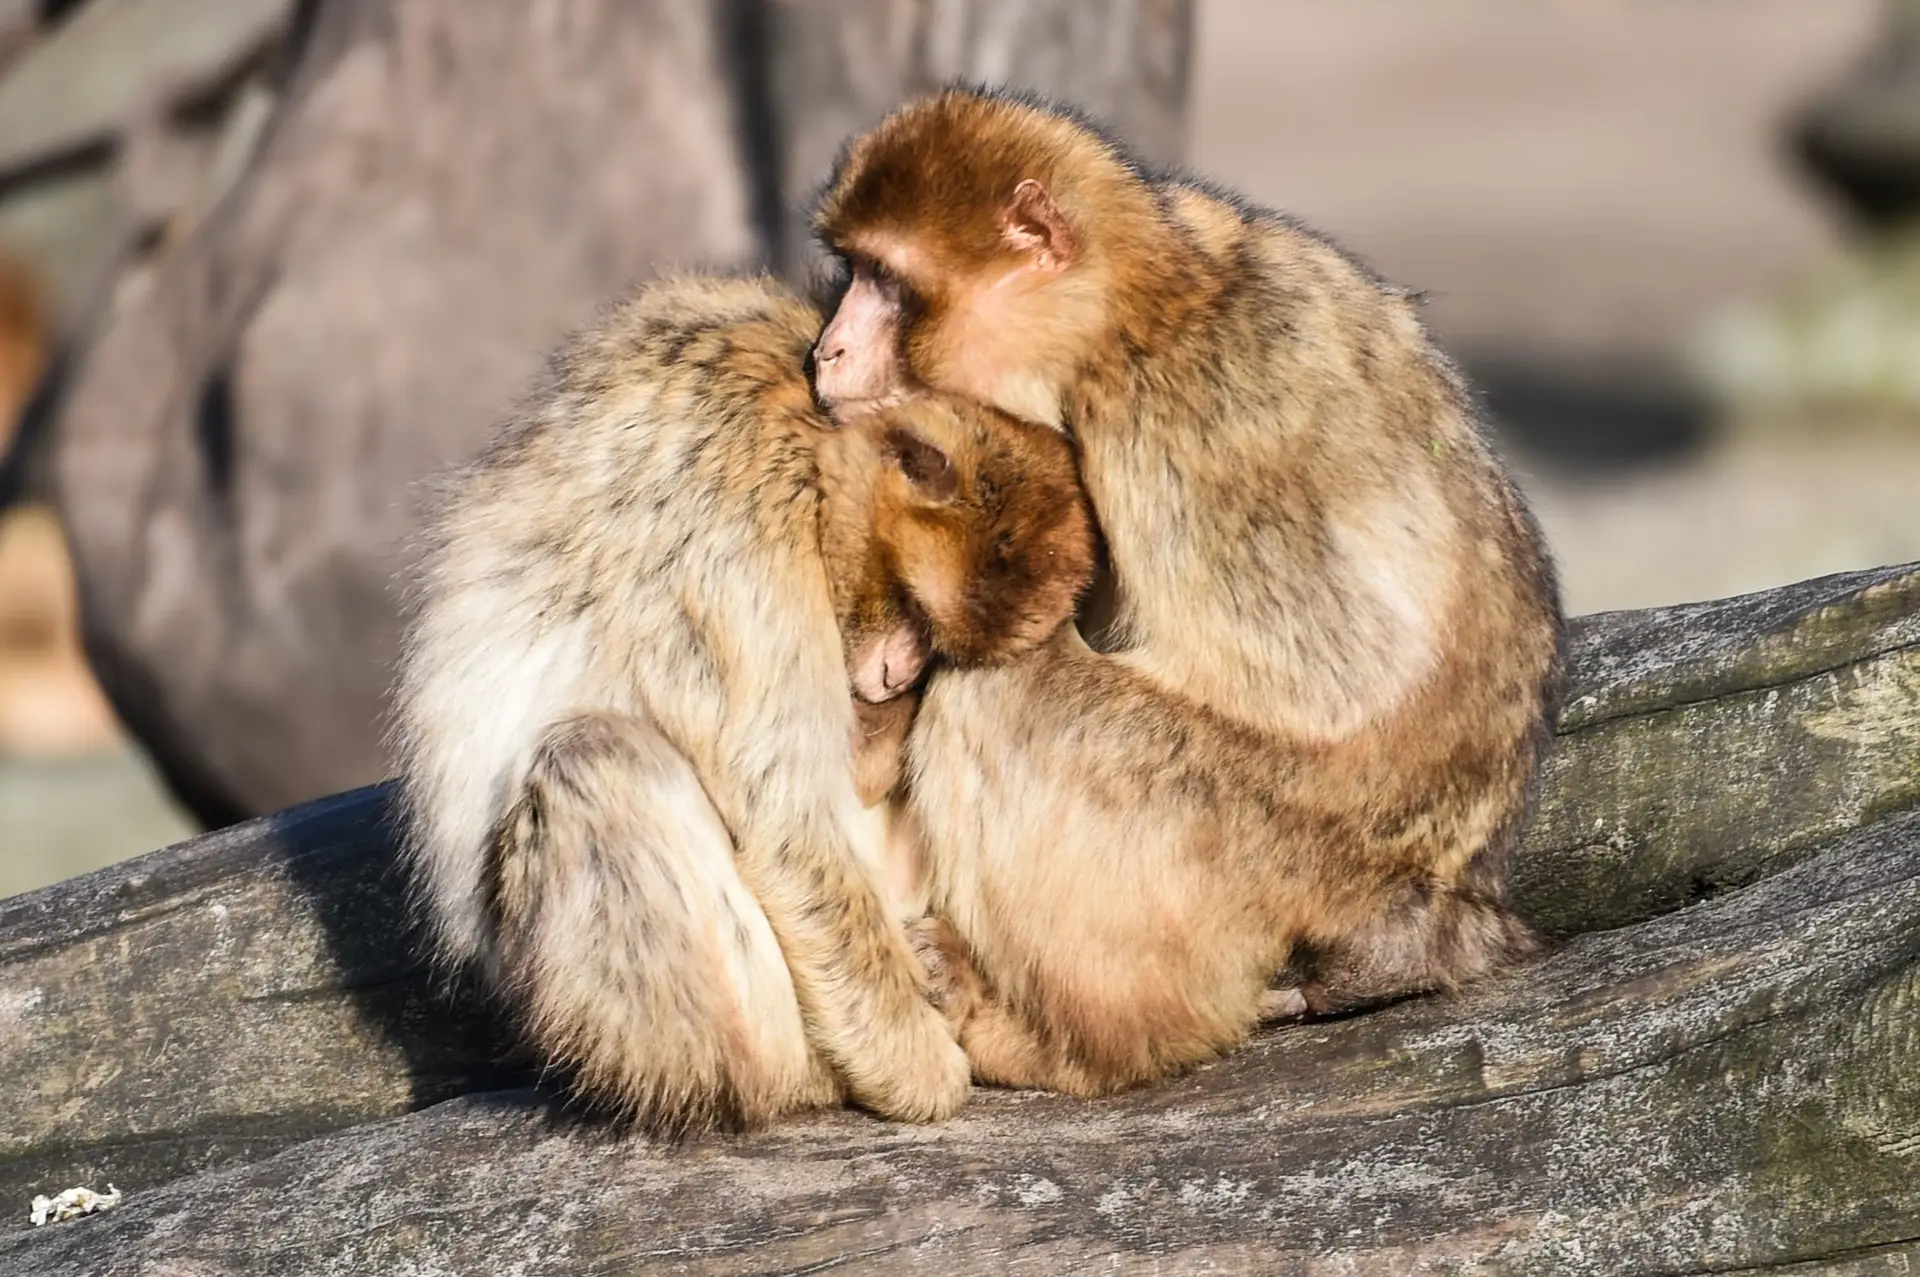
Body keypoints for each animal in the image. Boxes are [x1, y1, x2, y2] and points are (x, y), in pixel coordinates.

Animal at [385, 274, 1098, 1129]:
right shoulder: (742, 514)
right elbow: (786, 822)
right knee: (594, 755)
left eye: (939, 651)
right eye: (918, 617)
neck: (811, 426)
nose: (897, 676)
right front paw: (924, 1071)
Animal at [802, 84, 1566, 1090]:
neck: (1133, 307)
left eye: (889, 282)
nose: (827, 351)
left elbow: (1331, 679)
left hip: (1264, 866)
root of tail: (1448, 913)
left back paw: (1068, 1044)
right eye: (851, 270)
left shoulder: (1173, 418)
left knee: (1008, 693)